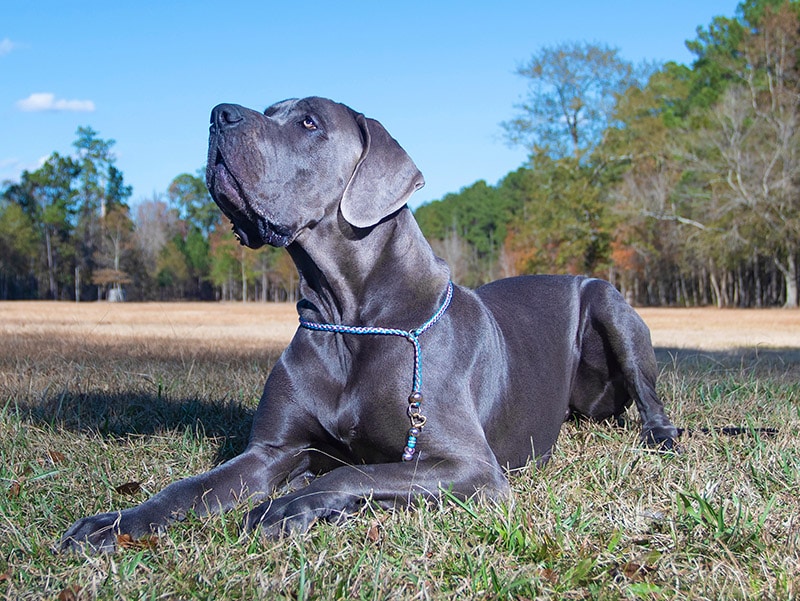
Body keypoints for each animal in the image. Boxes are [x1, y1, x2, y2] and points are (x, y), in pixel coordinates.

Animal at [59, 96, 680, 552]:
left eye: (309, 122)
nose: (218, 114)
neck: (351, 321)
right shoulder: (271, 451)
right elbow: (190, 487)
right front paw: (114, 523)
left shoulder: (472, 468)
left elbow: (352, 474)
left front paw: (288, 504)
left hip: (609, 304)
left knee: (649, 397)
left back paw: (660, 436)